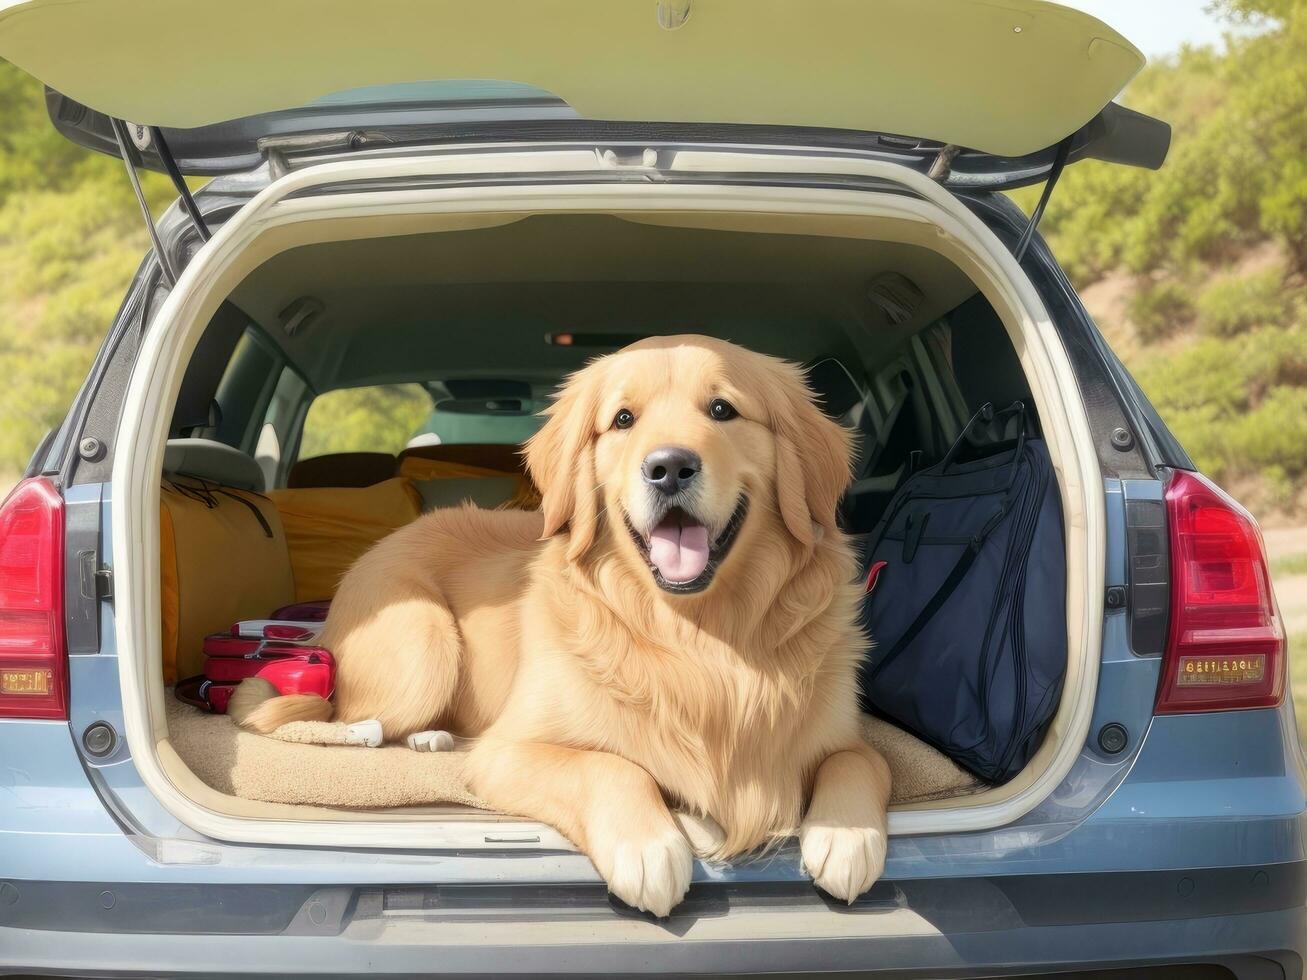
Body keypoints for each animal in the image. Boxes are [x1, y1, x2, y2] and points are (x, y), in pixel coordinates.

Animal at [232, 337, 888, 914]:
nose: (669, 467)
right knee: (344, 720)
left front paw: (846, 833)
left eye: (723, 409)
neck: (696, 636)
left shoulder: (844, 734)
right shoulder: (508, 753)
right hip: (424, 642)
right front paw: (649, 844)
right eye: (622, 419)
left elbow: (860, 759)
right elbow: (609, 764)